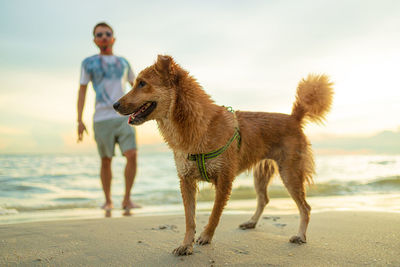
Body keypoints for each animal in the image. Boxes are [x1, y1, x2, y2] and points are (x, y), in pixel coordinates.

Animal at [113, 55, 334, 258]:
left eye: (142, 83)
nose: (114, 105)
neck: (197, 125)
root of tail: (294, 117)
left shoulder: (224, 179)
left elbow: (214, 214)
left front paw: (205, 236)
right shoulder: (186, 181)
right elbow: (189, 219)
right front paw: (186, 245)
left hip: (290, 173)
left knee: (305, 207)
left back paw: (300, 236)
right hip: (261, 174)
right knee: (264, 199)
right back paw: (251, 222)